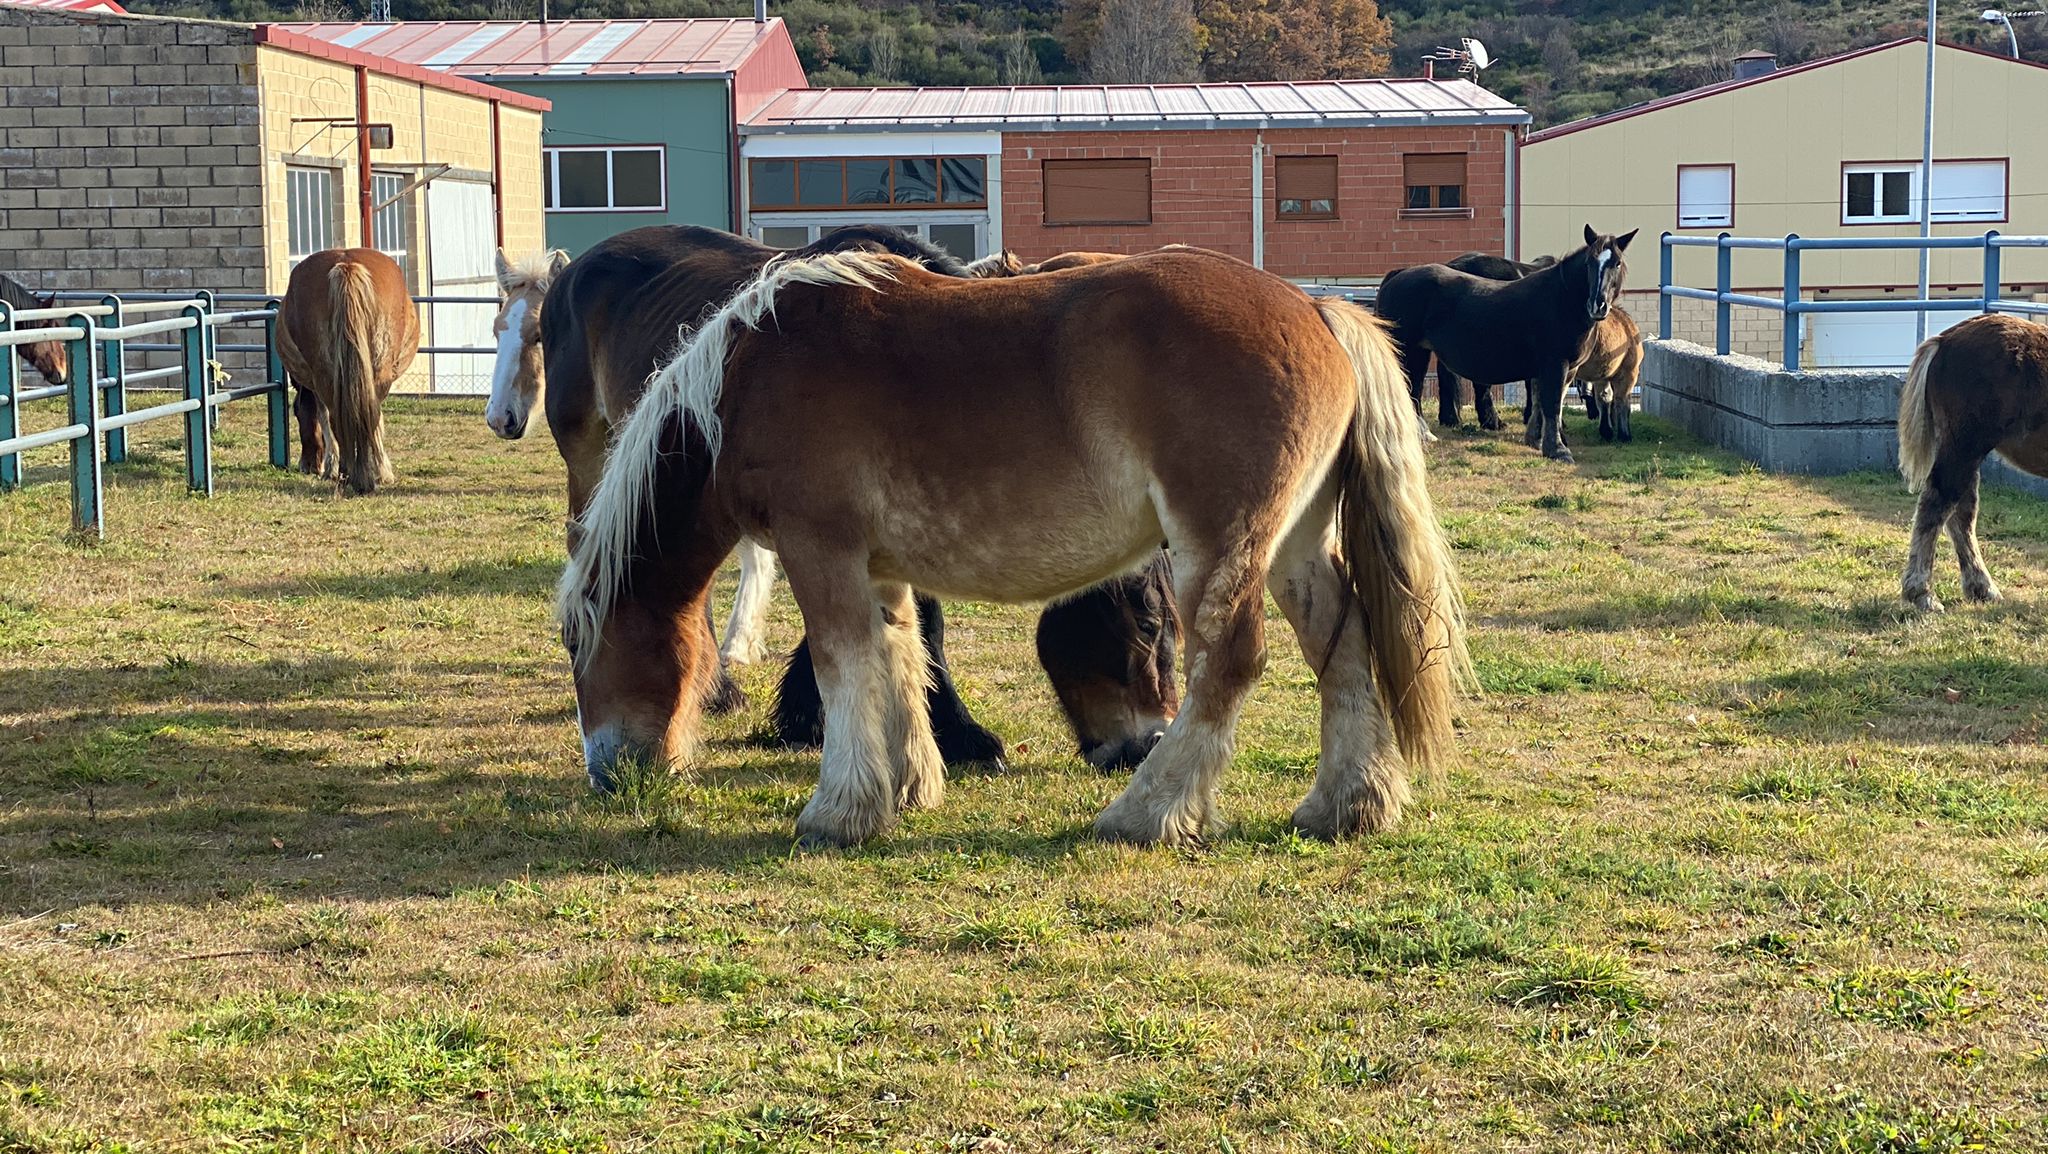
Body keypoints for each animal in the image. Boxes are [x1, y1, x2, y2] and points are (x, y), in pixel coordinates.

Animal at [278, 248, 417, 491]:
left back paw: (351, 474)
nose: (307, 465)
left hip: (329, 377)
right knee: (364, 416)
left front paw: (330, 468)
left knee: (342, 419)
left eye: (295, 413)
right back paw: (360, 476)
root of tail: (347, 266)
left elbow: (323, 419)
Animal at [487, 228, 1179, 774]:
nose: (1148, 745)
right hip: (595, 453)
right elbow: (922, 618)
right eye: (1149, 624)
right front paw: (958, 734)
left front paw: (804, 710)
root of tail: (577, 267)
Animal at [552, 248, 1466, 852]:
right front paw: (910, 784)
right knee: (1343, 644)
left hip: (1223, 544)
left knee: (1231, 663)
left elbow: (844, 666)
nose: (608, 772)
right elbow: (900, 658)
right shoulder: (877, 570)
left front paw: (839, 811)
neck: (746, 377)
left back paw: (1145, 813)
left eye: (577, 642)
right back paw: (1345, 806)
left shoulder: (822, 552)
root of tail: (1315, 311)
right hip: (1294, 544)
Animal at [1376, 223, 1646, 463]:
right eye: (1590, 262)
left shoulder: (1564, 370)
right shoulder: (1555, 364)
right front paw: (1558, 450)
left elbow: (1544, 402)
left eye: (1617, 263)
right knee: (1411, 392)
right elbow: (1552, 404)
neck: (1561, 299)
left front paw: (1537, 439)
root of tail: (1398, 275)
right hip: (1410, 351)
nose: (1598, 305)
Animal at [1884, 311, 2048, 610]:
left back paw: (1981, 588)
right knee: (1938, 505)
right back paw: (1923, 594)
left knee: (1961, 513)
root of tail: (1944, 340)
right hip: (1965, 446)